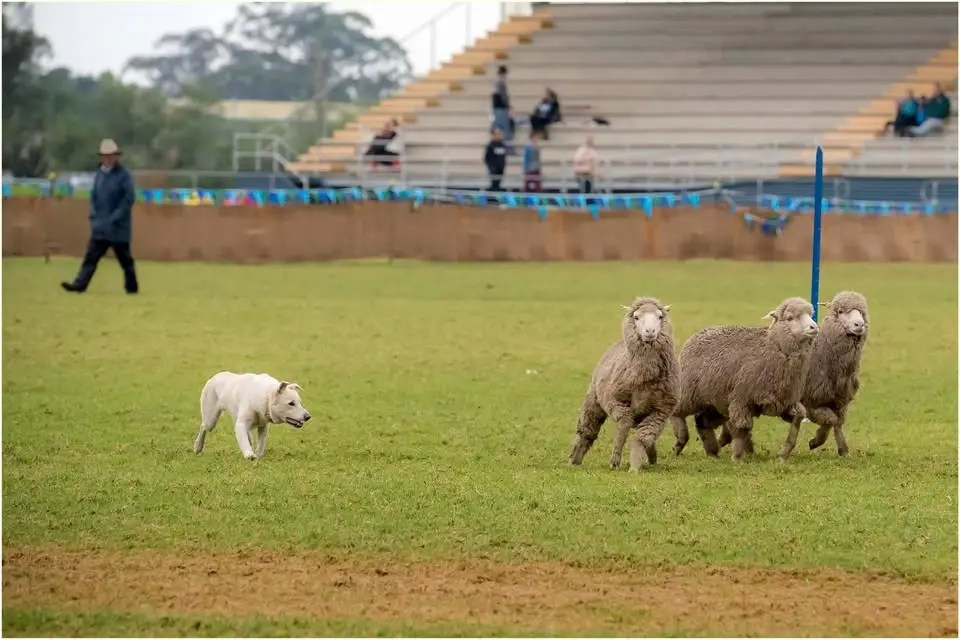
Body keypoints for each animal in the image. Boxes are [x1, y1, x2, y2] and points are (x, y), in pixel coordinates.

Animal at [568, 297, 680, 472]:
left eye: (660, 316)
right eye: (636, 317)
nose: (650, 332)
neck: (644, 374)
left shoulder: (660, 411)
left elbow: (642, 438)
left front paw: (634, 467)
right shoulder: (617, 403)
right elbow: (623, 427)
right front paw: (615, 460)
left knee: (648, 438)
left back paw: (652, 457)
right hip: (594, 401)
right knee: (586, 431)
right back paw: (574, 461)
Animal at [669, 297, 819, 461]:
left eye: (810, 314)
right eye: (790, 318)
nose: (814, 327)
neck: (771, 347)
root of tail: (699, 334)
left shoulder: (784, 401)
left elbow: (798, 418)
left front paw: (783, 452)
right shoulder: (741, 399)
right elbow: (742, 428)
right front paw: (737, 457)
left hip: (715, 401)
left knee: (702, 422)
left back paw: (712, 451)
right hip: (690, 393)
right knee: (676, 411)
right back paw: (680, 442)